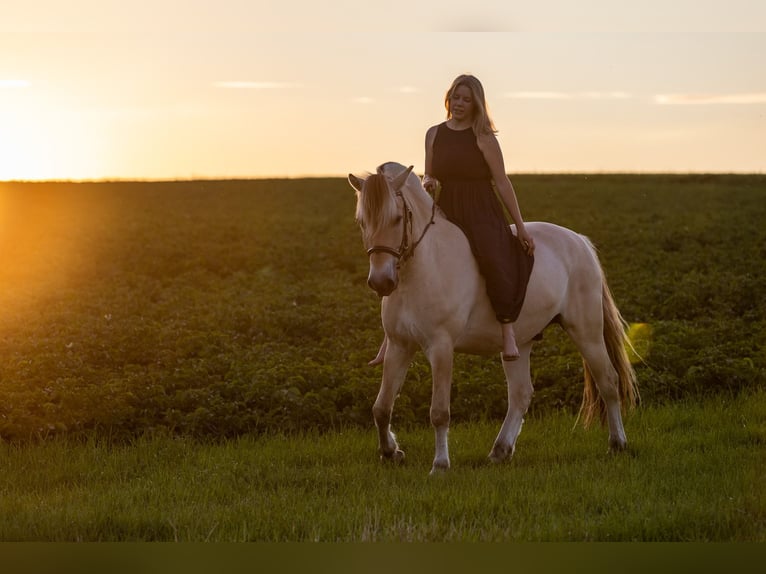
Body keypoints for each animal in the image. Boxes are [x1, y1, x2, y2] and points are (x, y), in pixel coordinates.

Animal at [348, 162, 638, 474]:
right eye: (362, 221)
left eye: (397, 218)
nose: (381, 282)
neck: (423, 268)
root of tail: (580, 241)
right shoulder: (400, 345)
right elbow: (381, 407)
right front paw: (391, 453)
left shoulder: (440, 346)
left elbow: (439, 412)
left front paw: (440, 465)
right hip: (521, 342)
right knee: (521, 393)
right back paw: (500, 450)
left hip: (587, 332)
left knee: (607, 380)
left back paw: (617, 443)